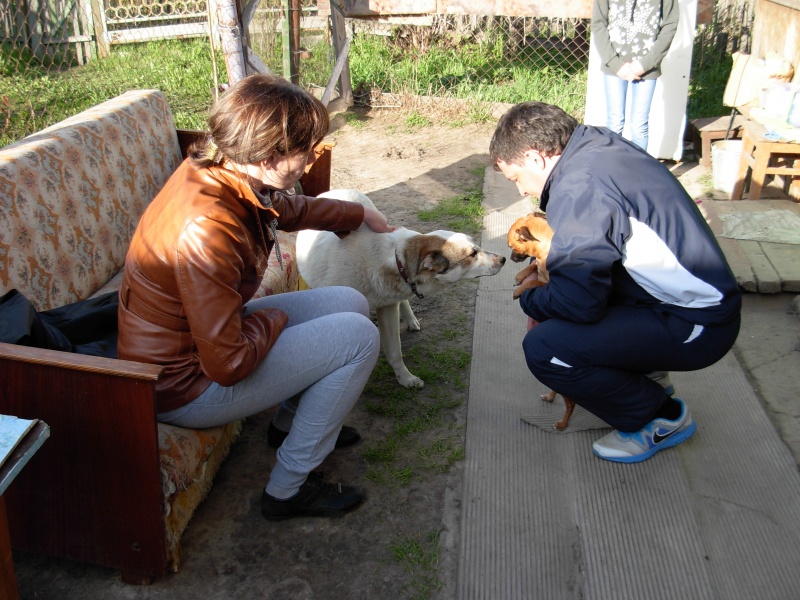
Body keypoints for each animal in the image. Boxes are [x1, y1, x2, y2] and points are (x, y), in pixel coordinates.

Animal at [297, 189, 506, 388]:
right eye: (472, 254)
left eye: (476, 247)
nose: (503, 259)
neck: (394, 262)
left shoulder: (388, 306)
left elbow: (395, 351)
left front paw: (405, 378)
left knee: (402, 302)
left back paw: (411, 319)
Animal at [507, 212, 576, 431]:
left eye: (512, 246)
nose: (510, 259)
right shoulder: (536, 265)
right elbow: (532, 266)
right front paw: (520, 276)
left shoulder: (550, 287)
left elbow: (535, 281)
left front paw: (520, 288)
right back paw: (550, 397)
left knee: (570, 403)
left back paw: (562, 424)